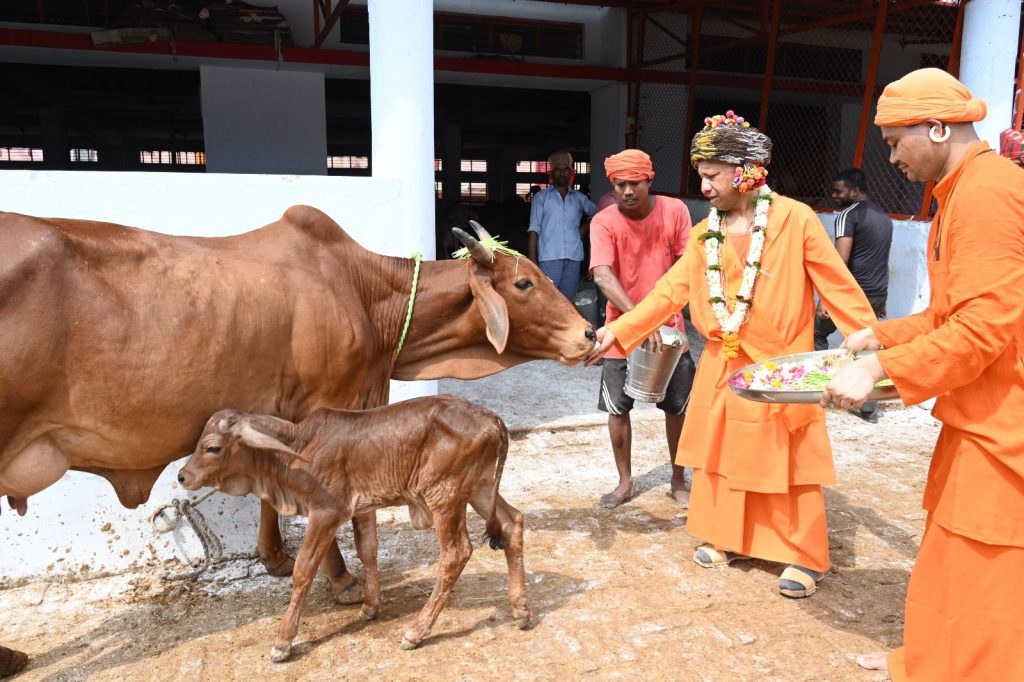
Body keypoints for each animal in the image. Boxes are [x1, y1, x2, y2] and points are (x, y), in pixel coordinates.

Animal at [178, 393, 528, 659]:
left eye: (212, 447)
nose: (182, 476)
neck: (299, 448)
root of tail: (491, 418)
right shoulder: (364, 507)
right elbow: (367, 550)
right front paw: (370, 607)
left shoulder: (325, 512)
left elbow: (304, 569)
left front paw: (283, 642)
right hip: (480, 487)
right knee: (512, 523)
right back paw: (521, 610)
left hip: (445, 495)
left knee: (457, 552)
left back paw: (416, 632)